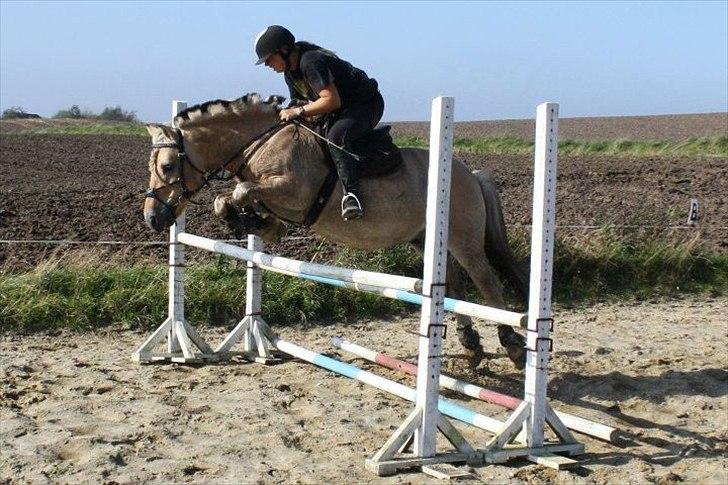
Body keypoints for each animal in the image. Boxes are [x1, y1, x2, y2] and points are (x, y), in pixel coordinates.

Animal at [142, 93, 528, 366]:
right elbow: (228, 199)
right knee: (453, 283)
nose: (152, 219)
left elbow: (240, 192)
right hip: (426, 240)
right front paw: (257, 224)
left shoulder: (293, 191)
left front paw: (261, 224)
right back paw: (471, 346)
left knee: (486, 282)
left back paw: (512, 345)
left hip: (464, 239)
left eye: (167, 165)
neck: (260, 143)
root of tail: (470, 173)